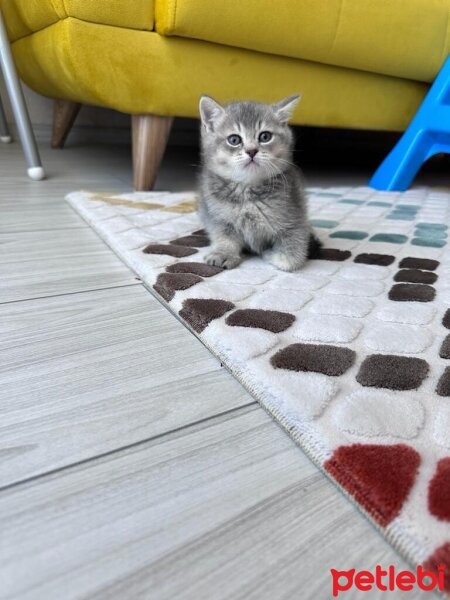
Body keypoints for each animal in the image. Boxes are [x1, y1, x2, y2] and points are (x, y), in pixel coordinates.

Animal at [198, 95, 320, 270]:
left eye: (265, 136)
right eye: (234, 139)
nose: (251, 151)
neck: (247, 191)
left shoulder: (295, 219)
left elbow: (291, 259)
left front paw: (271, 254)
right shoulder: (218, 218)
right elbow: (223, 237)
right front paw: (223, 253)